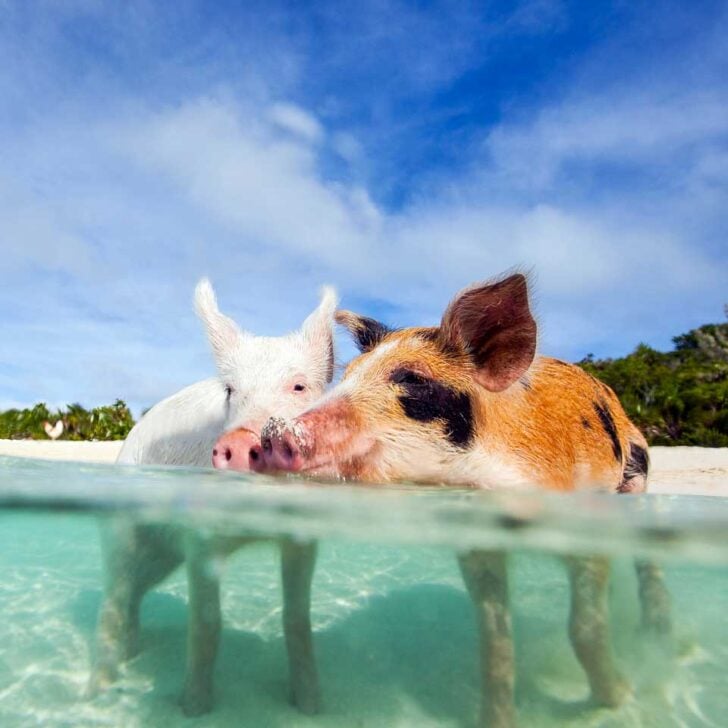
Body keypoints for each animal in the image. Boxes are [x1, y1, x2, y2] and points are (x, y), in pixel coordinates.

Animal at [88, 278, 336, 717]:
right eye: (231, 391)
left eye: (299, 385)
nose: (238, 441)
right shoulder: (200, 536)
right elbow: (206, 622)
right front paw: (193, 708)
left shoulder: (302, 537)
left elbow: (296, 618)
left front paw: (311, 707)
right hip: (122, 529)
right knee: (113, 600)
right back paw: (96, 693)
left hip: (162, 557)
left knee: (133, 595)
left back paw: (132, 655)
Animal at [254, 273, 672, 728]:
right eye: (348, 375)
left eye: (412, 379)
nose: (274, 433)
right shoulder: (478, 544)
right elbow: (495, 643)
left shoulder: (586, 522)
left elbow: (585, 628)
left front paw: (618, 700)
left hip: (637, 478)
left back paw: (656, 637)